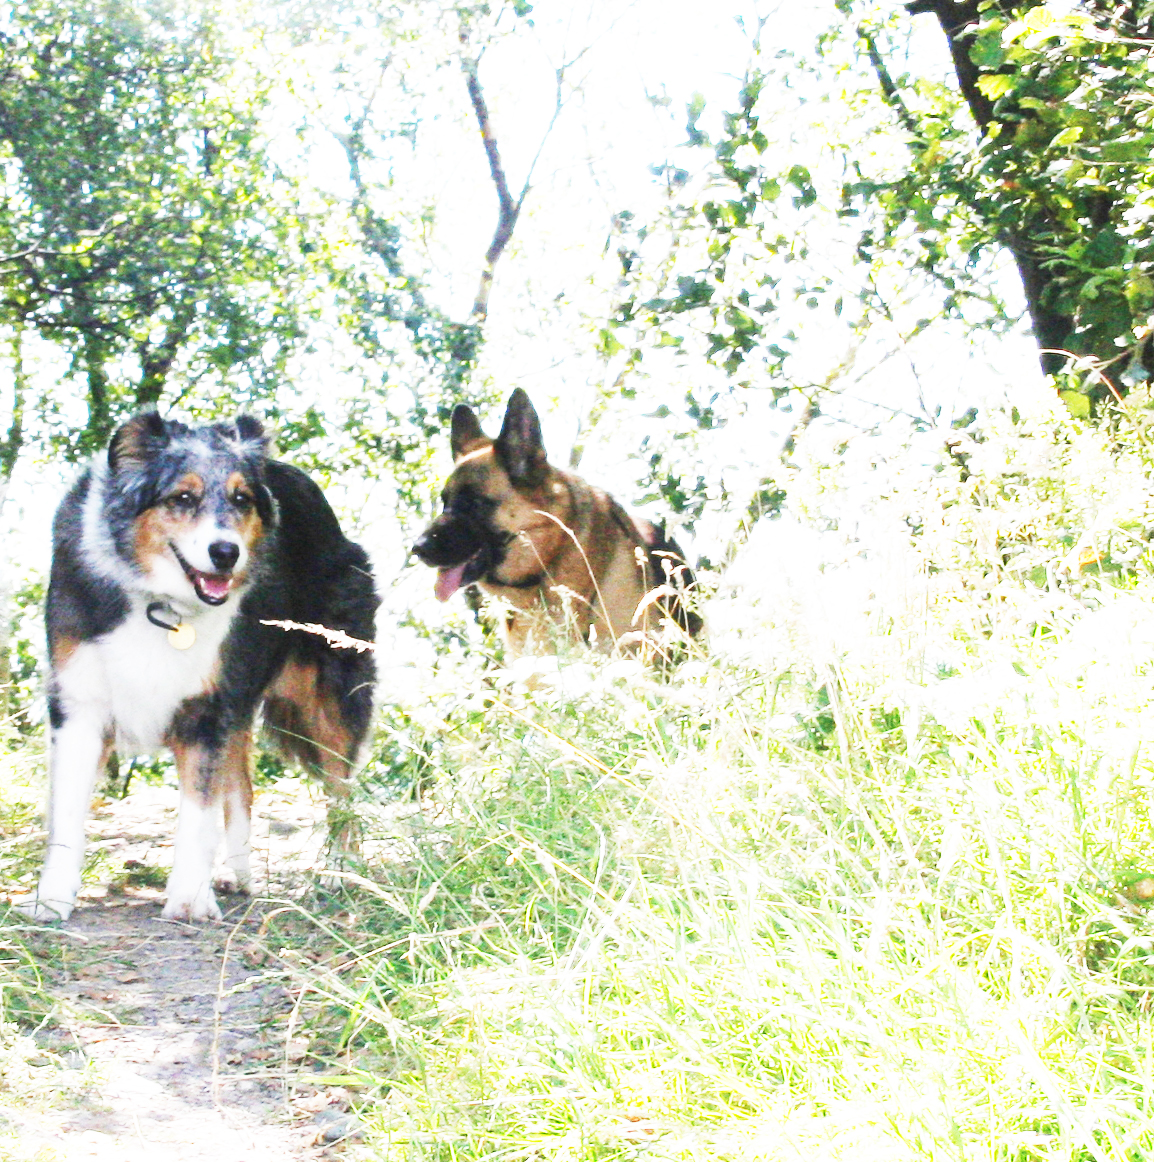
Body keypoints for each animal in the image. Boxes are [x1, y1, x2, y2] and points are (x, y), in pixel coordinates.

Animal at [21, 413, 378, 920]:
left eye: (242, 499)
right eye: (182, 498)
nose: (226, 553)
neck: (159, 600)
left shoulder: (206, 709)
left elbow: (198, 812)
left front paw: (189, 898)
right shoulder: (79, 704)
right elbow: (67, 814)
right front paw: (52, 900)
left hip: (327, 700)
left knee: (342, 788)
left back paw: (341, 870)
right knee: (245, 789)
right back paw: (236, 873)